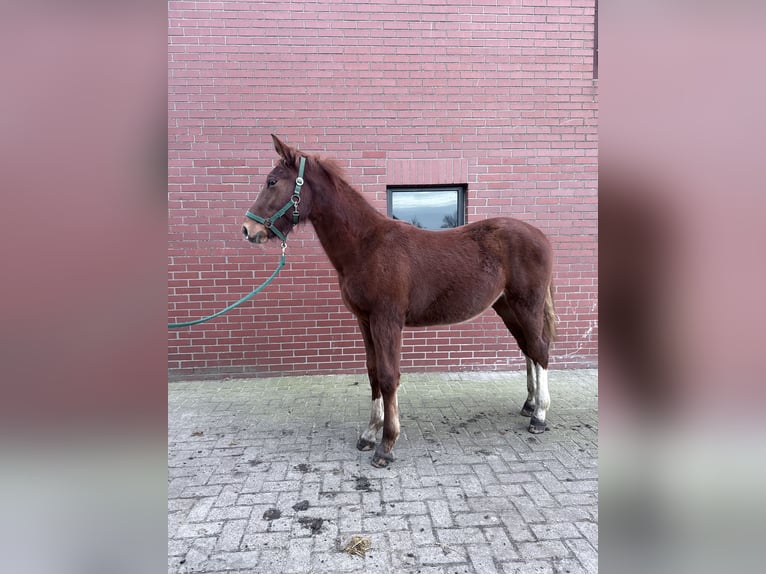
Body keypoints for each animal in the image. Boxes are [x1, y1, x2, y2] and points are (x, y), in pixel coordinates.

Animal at [242, 135, 556, 468]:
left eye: (272, 181)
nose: (249, 229)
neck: (367, 246)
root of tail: (541, 235)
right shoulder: (365, 321)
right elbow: (372, 373)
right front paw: (369, 434)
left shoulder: (387, 321)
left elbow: (389, 376)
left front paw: (386, 444)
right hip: (507, 307)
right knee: (528, 349)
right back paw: (528, 404)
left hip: (527, 305)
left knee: (540, 350)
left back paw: (539, 416)